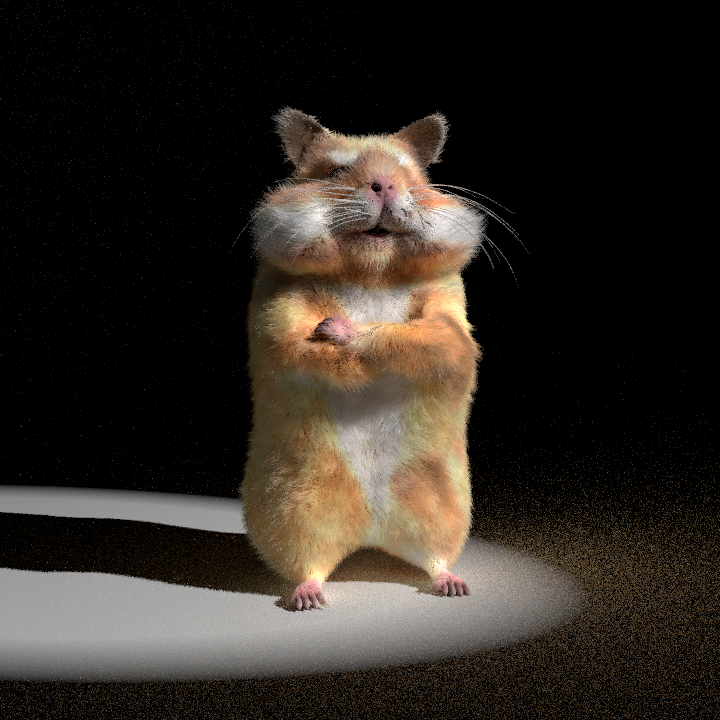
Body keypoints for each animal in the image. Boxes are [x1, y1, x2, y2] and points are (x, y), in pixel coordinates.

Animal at [241, 107, 488, 611]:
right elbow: (296, 343)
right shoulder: (277, 309)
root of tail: (372, 532)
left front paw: (339, 328)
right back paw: (307, 598)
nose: (384, 185)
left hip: (442, 508)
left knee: (434, 557)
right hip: (297, 510)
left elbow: (436, 340)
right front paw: (328, 329)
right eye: (336, 171)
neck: (371, 270)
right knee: (308, 562)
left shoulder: (449, 311)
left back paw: (453, 584)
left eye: (409, 175)